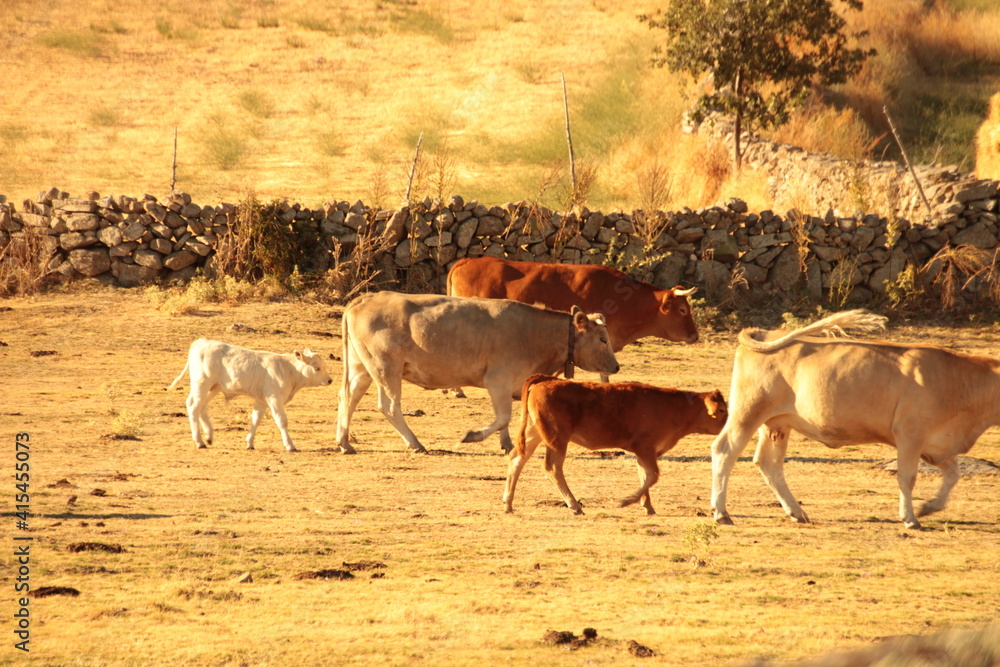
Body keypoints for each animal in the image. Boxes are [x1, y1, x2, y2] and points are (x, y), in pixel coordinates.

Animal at [169, 339, 333, 451]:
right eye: (317, 368)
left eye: (324, 366)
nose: (330, 380)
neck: (288, 369)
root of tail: (202, 342)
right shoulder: (274, 398)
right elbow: (282, 421)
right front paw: (290, 445)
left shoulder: (261, 400)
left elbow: (256, 419)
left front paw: (249, 443)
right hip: (201, 384)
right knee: (193, 407)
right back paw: (199, 441)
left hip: (213, 388)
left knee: (202, 407)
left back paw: (208, 437)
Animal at [337, 291, 620, 454]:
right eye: (603, 339)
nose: (616, 367)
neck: (536, 334)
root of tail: (365, 298)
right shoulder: (498, 381)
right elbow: (503, 417)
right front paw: (473, 436)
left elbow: (507, 418)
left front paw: (507, 444)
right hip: (386, 368)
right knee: (389, 406)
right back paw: (415, 443)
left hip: (362, 368)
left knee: (348, 398)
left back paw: (344, 442)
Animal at [504, 374, 728, 515]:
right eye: (722, 410)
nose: (729, 424)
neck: (674, 407)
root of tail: (547, 380)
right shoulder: (645, 447)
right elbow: (653, 475)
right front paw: (627, 501)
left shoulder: (644, 453)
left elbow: (645, 476)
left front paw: (647, 506)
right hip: (557, 439)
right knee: (553, 467)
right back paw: (575, 505)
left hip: (534, 434)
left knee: (517, 458)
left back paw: (508, 503)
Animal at [711, 309, 1000, 529]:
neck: (960, 381)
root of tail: (766, 333)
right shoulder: (910, 434)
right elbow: (907, 477)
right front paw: (910, 518)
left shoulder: (938, 445)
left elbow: (953, 475)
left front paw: (928, 507)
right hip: (748, 411)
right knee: (725, 450)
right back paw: (721, 513)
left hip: (777, 422)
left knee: (768, 462)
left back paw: (797, 512)